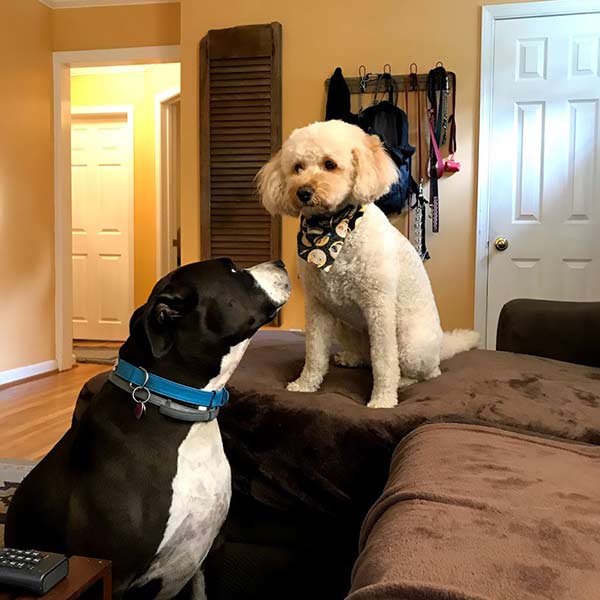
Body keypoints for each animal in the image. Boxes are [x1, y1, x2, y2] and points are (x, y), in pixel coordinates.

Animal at [256, 122, 478, 410]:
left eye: (330, 164)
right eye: (297, 167)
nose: (303, 192)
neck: (333, 231)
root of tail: (441, 346)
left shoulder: (378, 307)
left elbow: (384, 362)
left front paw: (383, 399)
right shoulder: (318, 306)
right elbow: (314, 353)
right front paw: (305, 385)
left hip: (411, 343)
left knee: (427, 371)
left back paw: (403, 381)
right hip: (343, 323)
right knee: (366, 357)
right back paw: (352, 358)